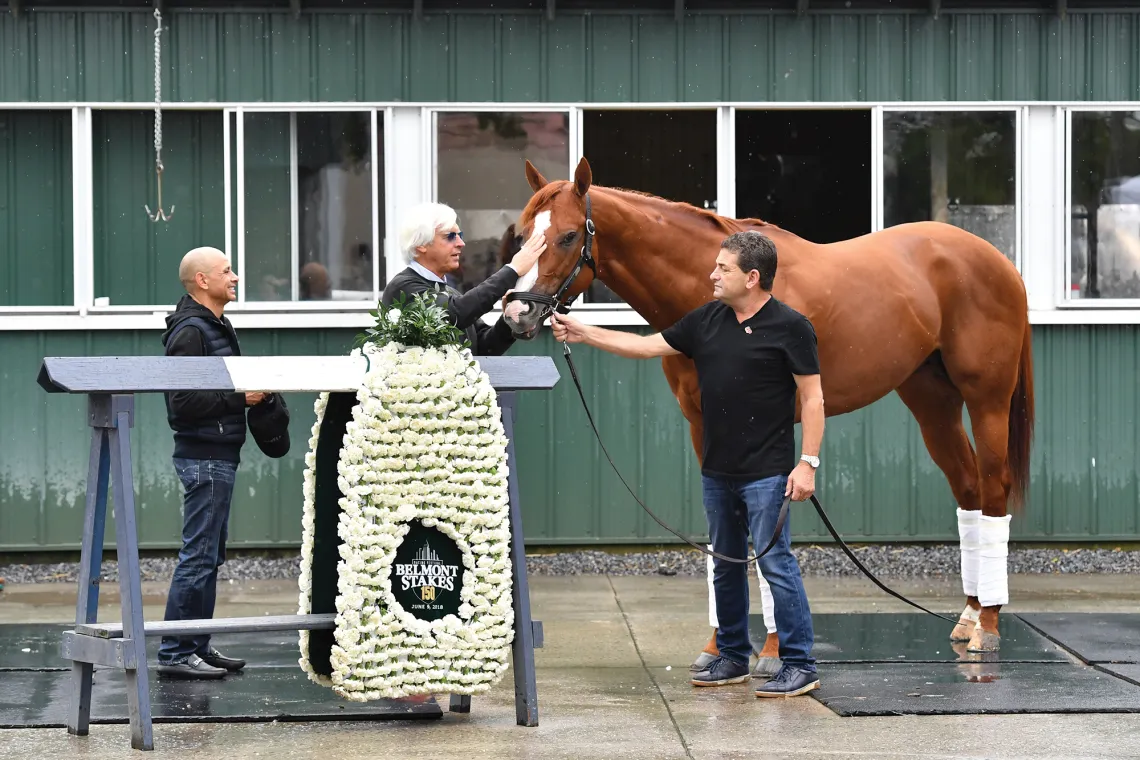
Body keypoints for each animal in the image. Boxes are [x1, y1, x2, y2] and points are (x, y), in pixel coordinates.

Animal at [503, 156, 1039, 656]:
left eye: (568, 235)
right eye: (524, 234)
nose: (516, 312)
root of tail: (997, 260)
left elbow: (766, 533)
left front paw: (775, 650)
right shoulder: (705, 426)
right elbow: (724, 533)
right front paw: (720, 646)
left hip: (987, 400)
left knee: (993, 491)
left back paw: (988, 626)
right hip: (931, 401)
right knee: (968, 489)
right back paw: (968, 615)